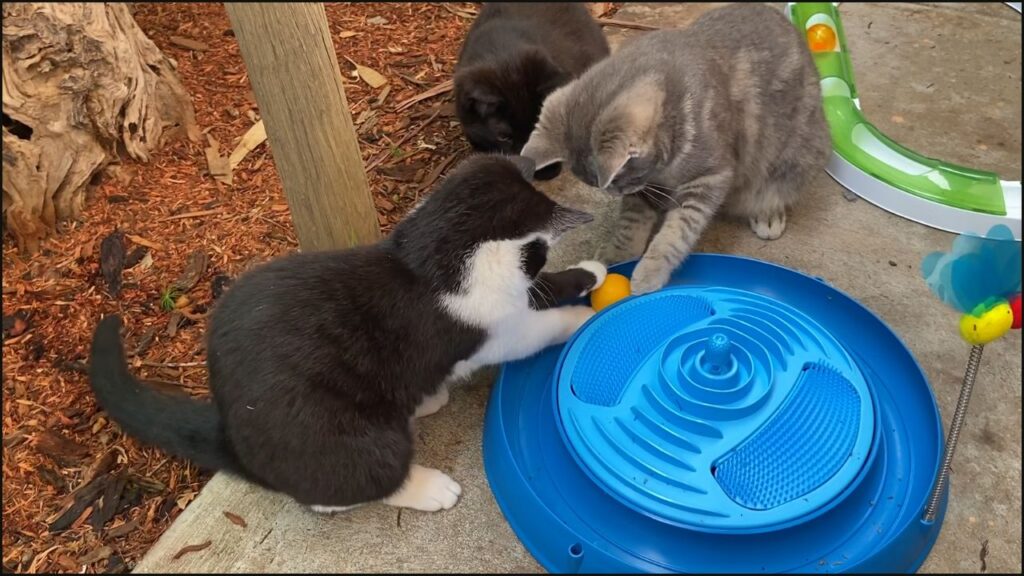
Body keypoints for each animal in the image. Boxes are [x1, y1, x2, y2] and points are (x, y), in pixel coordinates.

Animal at [88, 153, 602, 510]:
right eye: (538, 250)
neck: (428, 259)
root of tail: (235, 440)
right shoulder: (495, 330)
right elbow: (539, 325)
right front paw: (582, 321)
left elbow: (541, 291)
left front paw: (588, 276)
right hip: (349, 440)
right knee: (341, 489)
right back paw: (426, 487)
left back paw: (426, 400)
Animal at [520, 3, 831, 291]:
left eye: (615, 181)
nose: (616, 192)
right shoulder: (647, 188)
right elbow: (631, 223)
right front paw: (618, 254)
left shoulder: (709, 178)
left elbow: (677, 231)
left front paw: (650, 270)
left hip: (796, 156)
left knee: (775, 189)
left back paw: (767, 212)